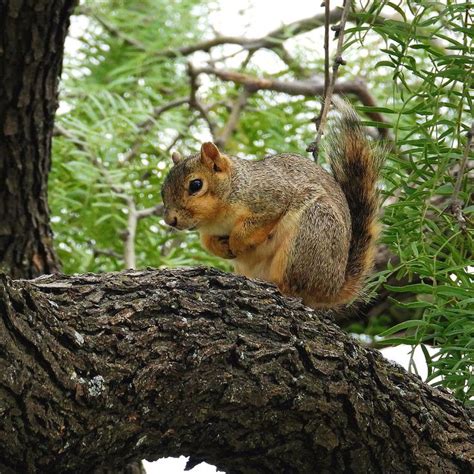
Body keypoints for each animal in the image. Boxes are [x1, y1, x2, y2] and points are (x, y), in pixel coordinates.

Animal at [161, 100, 384, 310]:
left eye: (196, 185)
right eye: (162, 189)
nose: (170, 220)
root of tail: (334, 288)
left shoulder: (272, 199)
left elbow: (254, 225)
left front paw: (236, 243)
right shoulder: (209, 232)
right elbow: (208, 243)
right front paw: (222, 248)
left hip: (310, 234)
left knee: (295, 286)